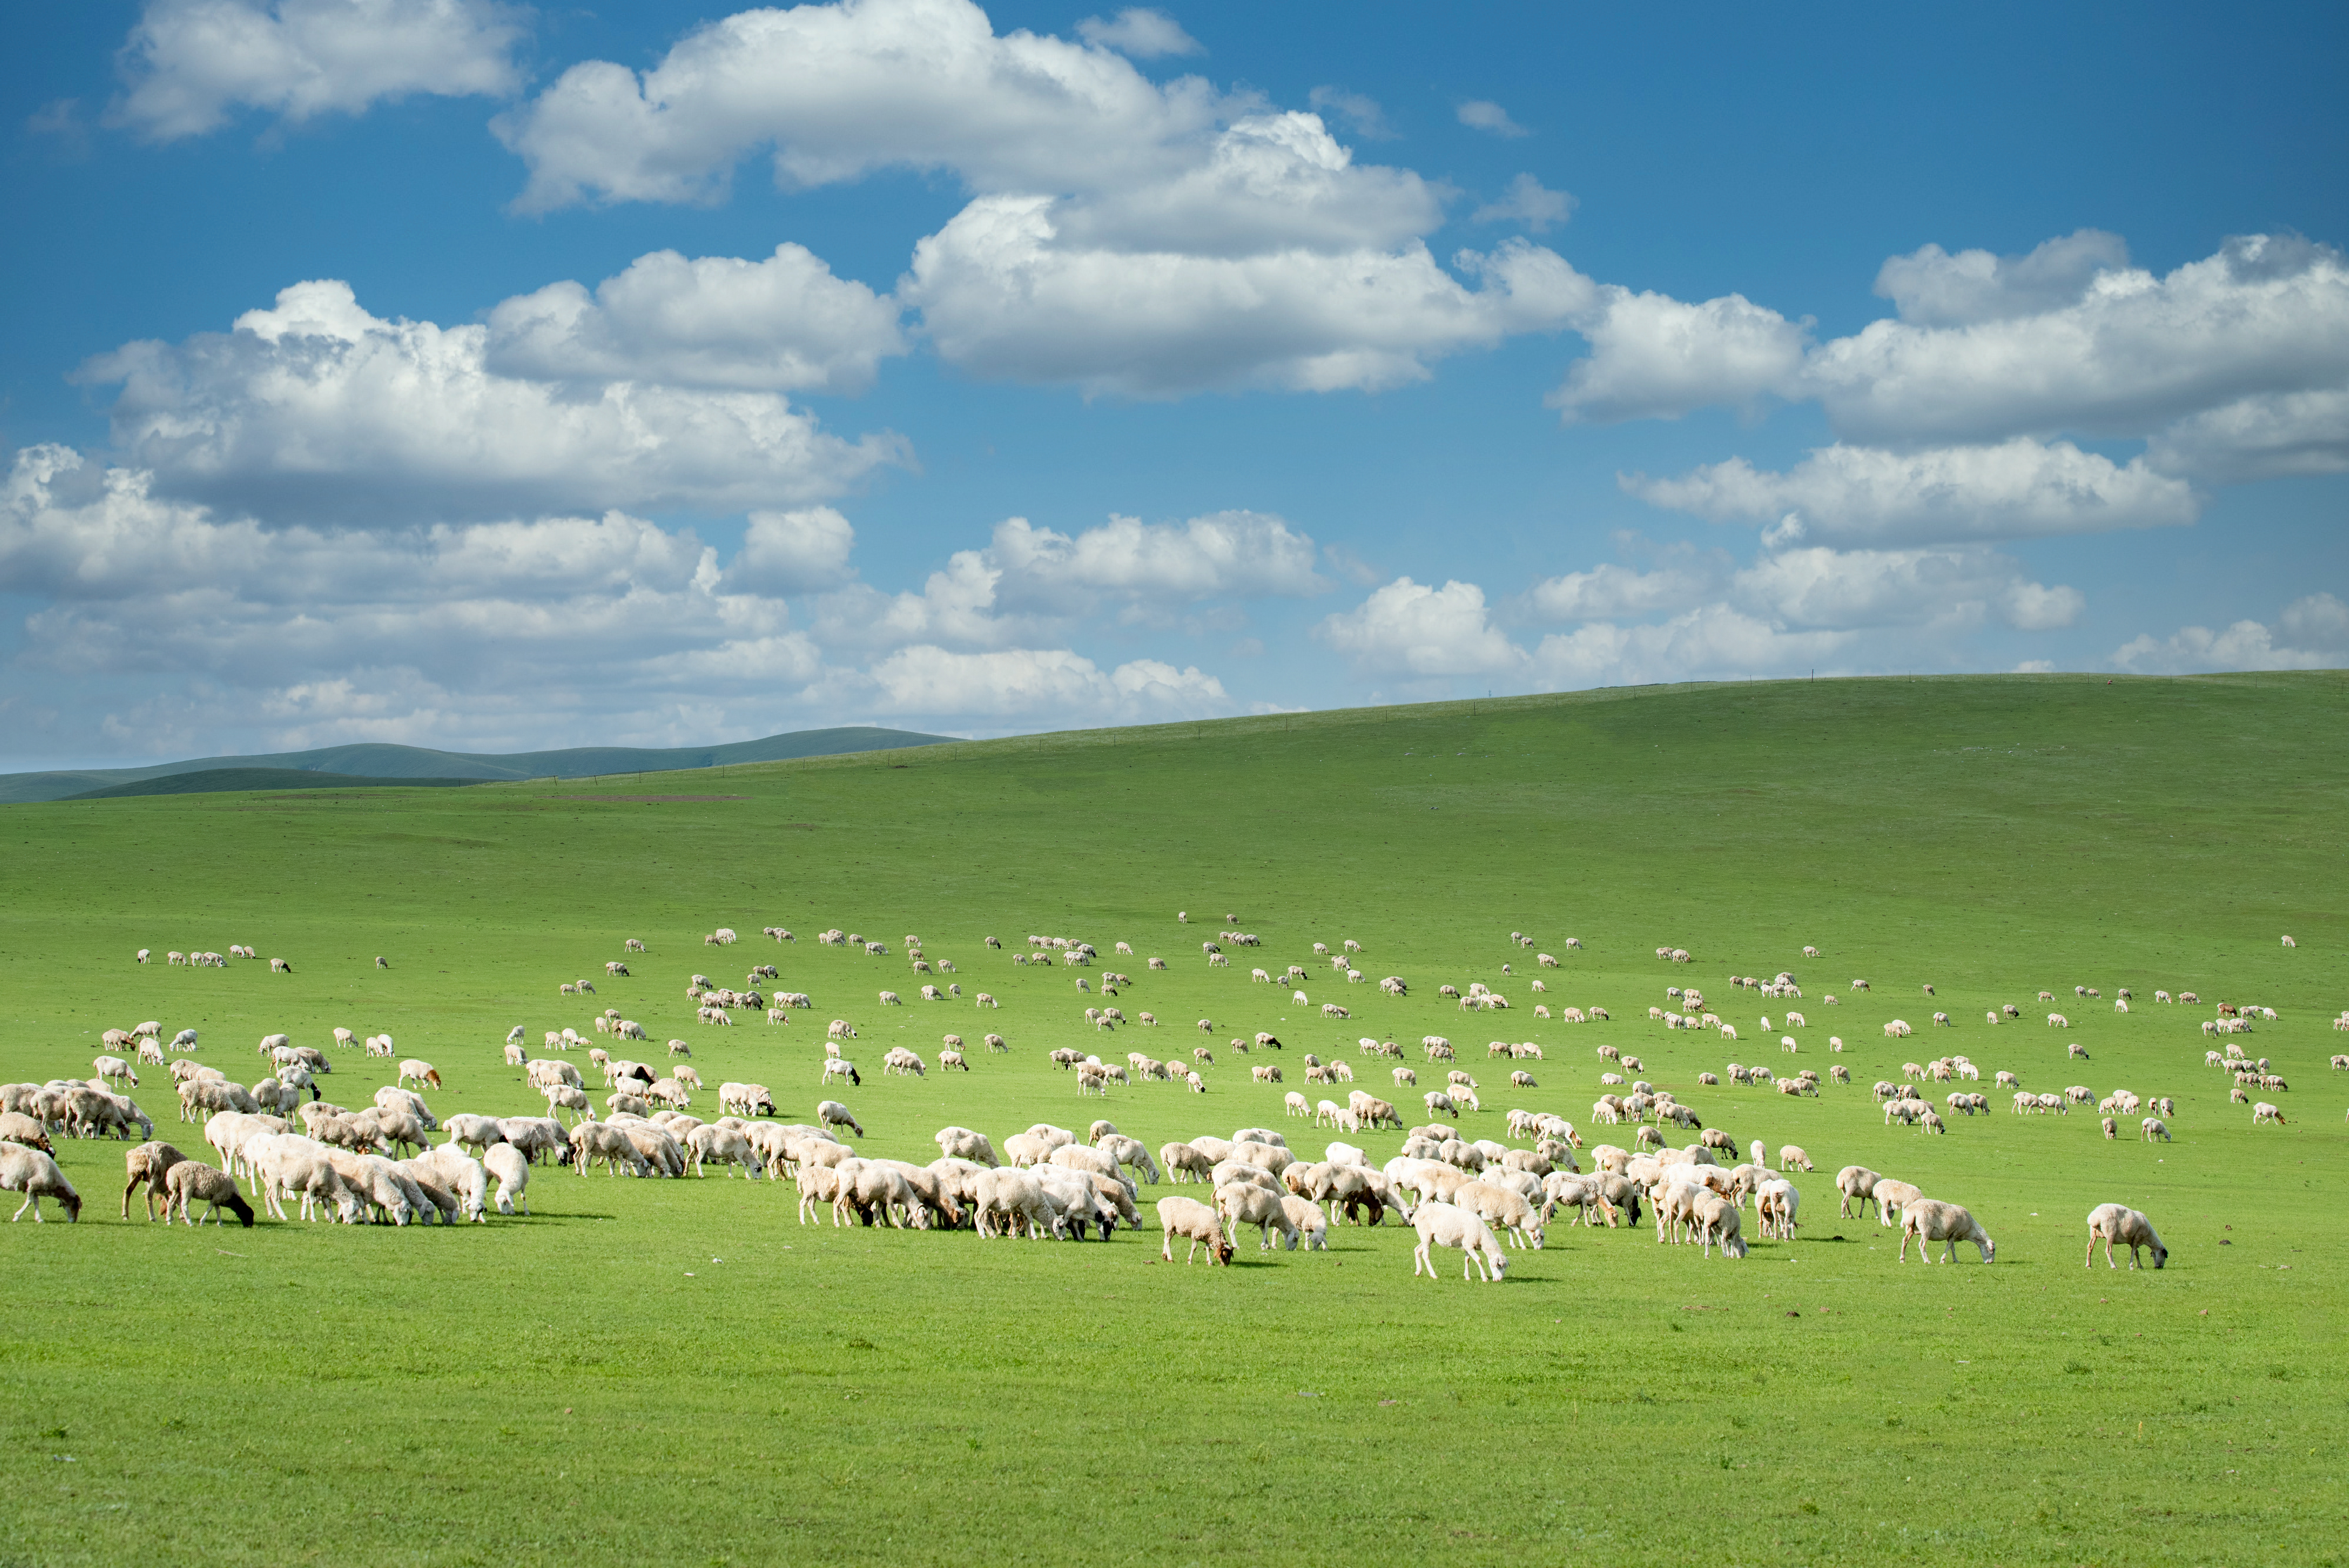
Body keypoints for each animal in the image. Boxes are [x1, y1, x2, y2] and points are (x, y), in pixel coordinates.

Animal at [1898, 1203, 1992, 1260]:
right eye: (1993, 1250)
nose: (1990, 1262)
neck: (1970, 1230)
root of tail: (1912, 1212)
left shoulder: (1950, 1235)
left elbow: (1952, 1248)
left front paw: (1956, 1260)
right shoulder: (1956, 1233)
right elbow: (1949, 1247)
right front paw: (1943, 1260)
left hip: (1912, 1229)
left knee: (1905, 1240)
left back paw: (1903, 1258)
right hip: (1926, 1229)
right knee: (1922, 1245)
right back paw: (1927, 1260)